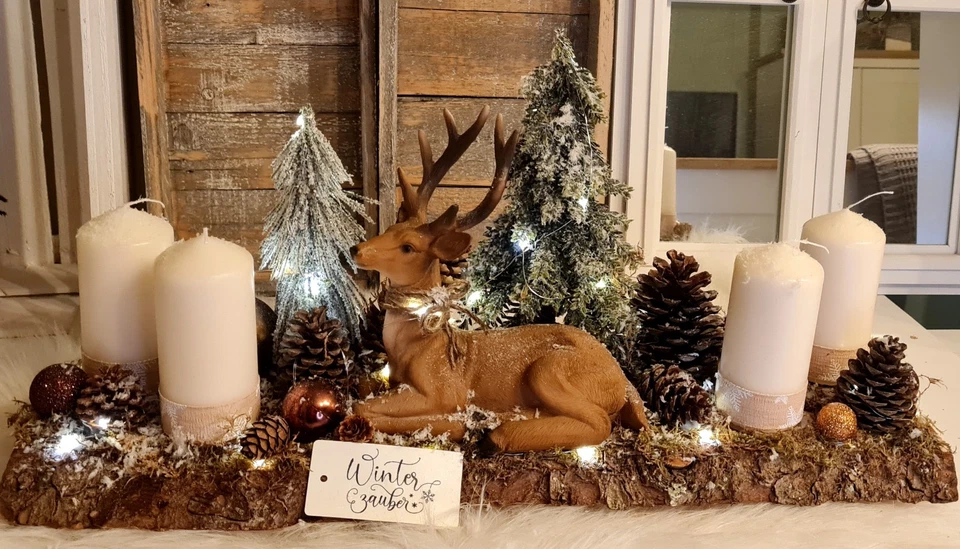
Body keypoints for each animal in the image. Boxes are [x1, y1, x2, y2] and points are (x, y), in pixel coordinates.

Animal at [350, 106, 649, 454]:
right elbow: (362, 394)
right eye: (389, 230)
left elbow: (364, 407)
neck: (415, 347)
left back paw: (501, 432)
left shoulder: (443, 389)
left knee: (600, 421)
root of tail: (622, 380)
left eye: (408, 247)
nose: (356, 249)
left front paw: (452, 424)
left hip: (552, 368)